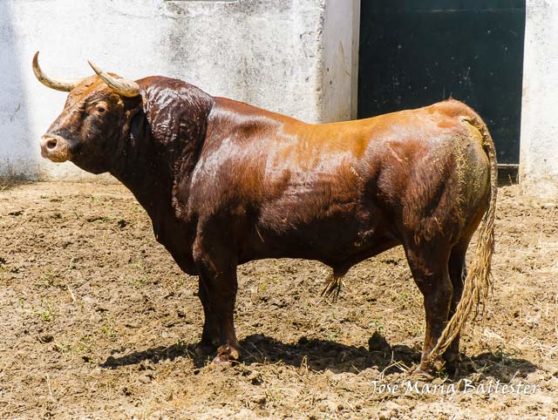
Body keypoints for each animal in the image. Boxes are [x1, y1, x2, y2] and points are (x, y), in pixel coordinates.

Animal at [34, 52, 498, 374]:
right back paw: (451, 360)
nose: (49, 142)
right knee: (457, 293)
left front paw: (226, 353)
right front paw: (205, 343)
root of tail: (444, 111)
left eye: (99, 108)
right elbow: (206, 296)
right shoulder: (199, 244)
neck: (193, 149)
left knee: (437, 295)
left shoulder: (213, 245)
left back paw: (426, 365)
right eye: (68, 100)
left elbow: (223, 294)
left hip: (425, 242)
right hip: (455, 244)